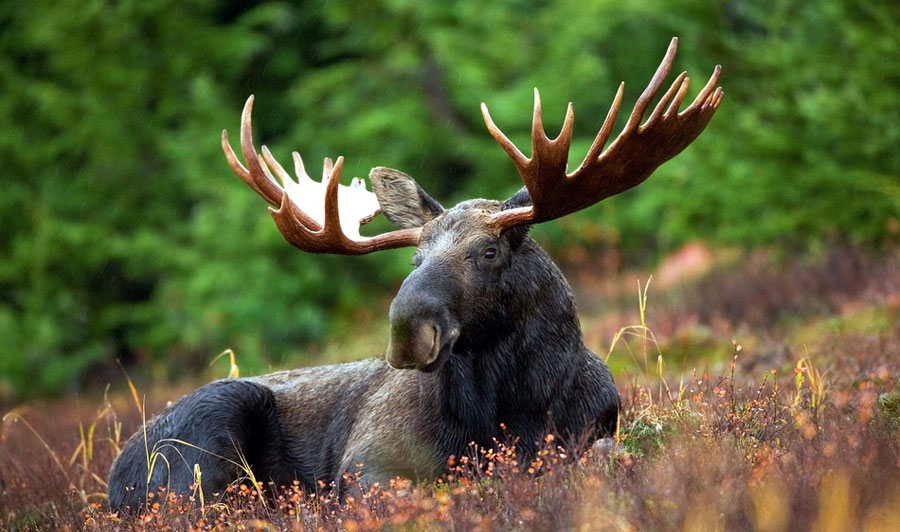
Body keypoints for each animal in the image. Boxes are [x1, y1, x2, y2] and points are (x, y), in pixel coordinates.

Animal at [107, 37, 724, 512]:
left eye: (488, 252)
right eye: (414, 259)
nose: (407, 331)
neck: (513, 408)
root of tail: (114, 479)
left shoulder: (594, 431)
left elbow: (603, 456)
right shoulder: (367, 464)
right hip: (207, 437)